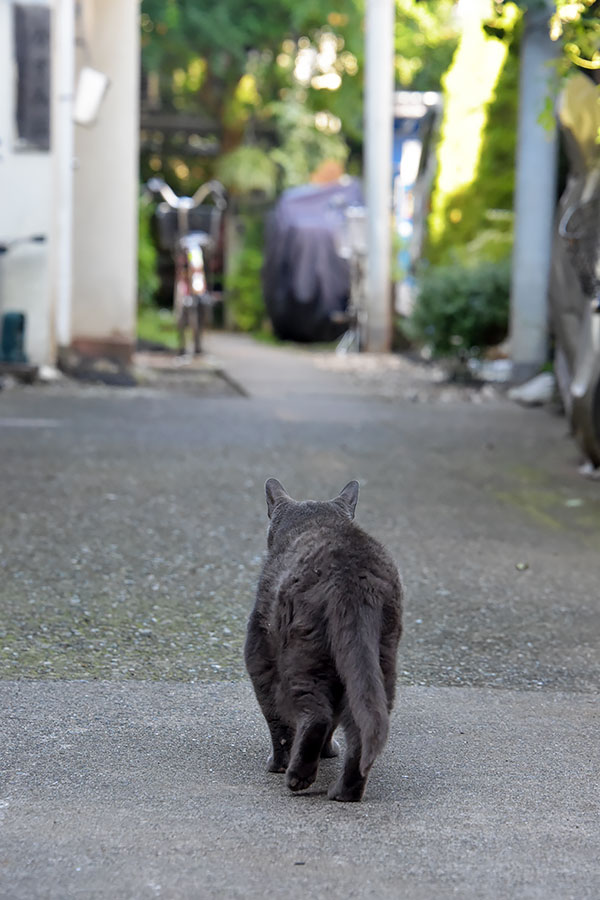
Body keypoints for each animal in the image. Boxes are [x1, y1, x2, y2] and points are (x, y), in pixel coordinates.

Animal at [244, 478, 404, 800]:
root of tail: (352, 572)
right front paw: (328, 753)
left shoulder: (259, 653)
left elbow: (276, 718)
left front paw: (278, 764)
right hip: (376, 660)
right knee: (362, 721)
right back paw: (346, 791)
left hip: (302, 654)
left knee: (316, 714)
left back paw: (298, 777)